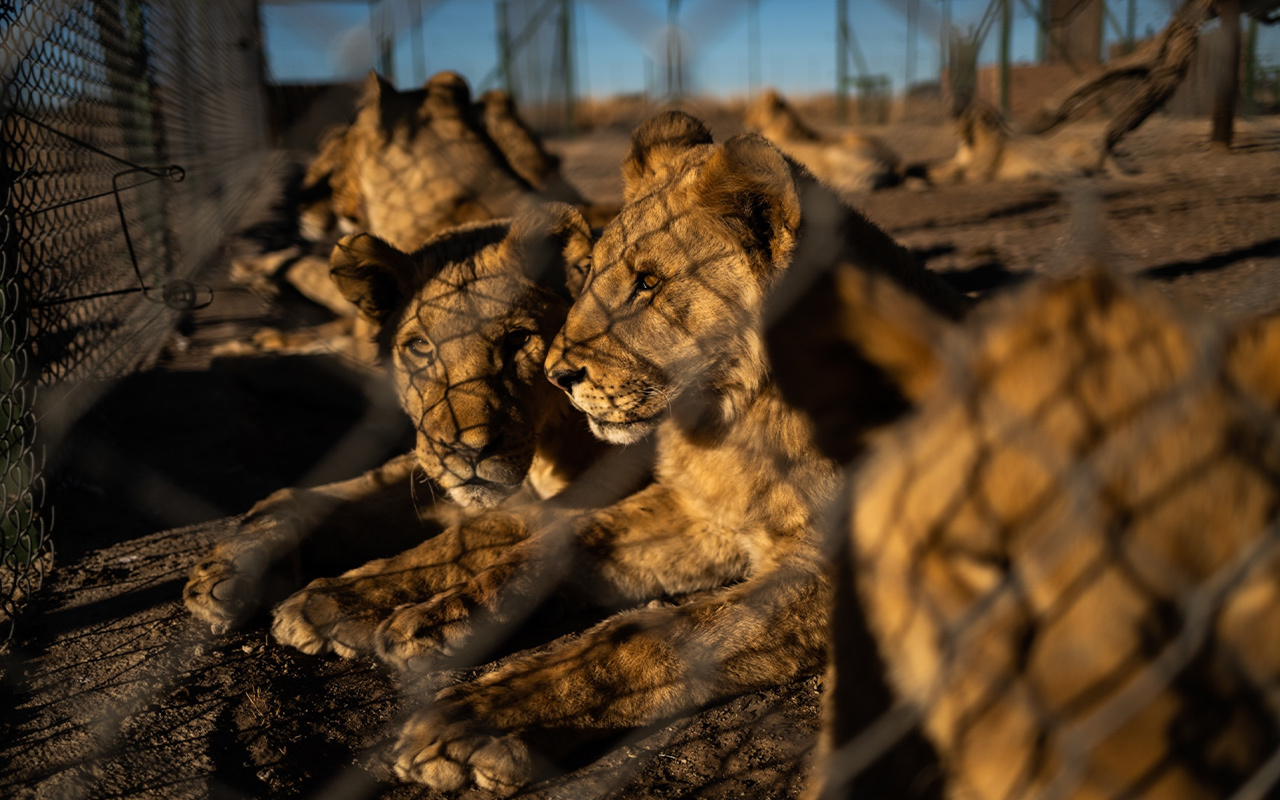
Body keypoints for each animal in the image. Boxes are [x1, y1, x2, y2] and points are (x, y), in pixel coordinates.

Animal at [186, 202, 629, 632]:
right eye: (419, 346)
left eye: (518, 339)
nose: (469, 452)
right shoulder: (429, 462)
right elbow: (316, 495)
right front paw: (227, 567)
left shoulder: (601, 485)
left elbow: (467, 538)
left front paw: (333, 602)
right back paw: (242, 324)